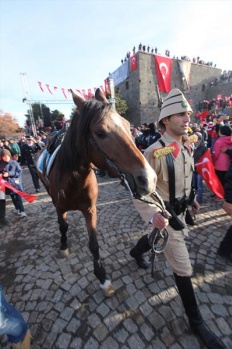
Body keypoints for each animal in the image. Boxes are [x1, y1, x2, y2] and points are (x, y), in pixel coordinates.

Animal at [38, 88, 157, 294]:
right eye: (100, 133)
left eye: (127, 125)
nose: (148, 179)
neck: (73, 180)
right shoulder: (60, 208)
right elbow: (63, 226)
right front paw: (63, 246)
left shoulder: (90, 210)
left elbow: (94, 245)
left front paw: (102, 277)